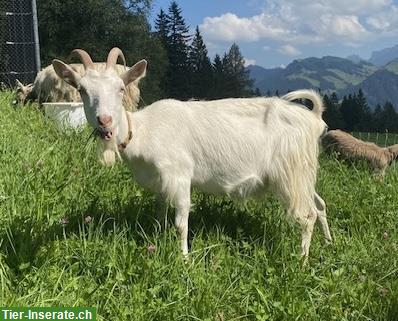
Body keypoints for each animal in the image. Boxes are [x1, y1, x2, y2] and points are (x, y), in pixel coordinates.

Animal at [52, 47, 332, 258]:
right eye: (82, 90)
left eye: (121, 88)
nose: (105, 121)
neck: (142, 130)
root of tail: (314, 119)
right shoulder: (161, 182)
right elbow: (160, 213)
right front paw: (157, 239)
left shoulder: (179, 175)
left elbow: (180, 223)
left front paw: (184, 259)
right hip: (303, 174)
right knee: (319, 204)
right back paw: (329, 243)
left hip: (291, 173)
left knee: (307, 215)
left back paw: (301, 260)